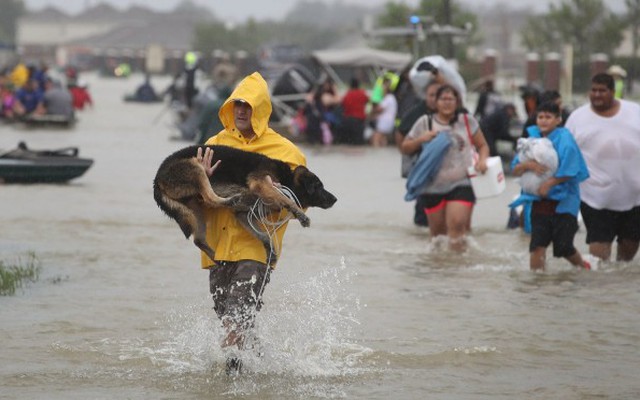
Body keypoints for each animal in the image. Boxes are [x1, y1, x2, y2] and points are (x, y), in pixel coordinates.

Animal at [153, 145, 338, 264]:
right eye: (319, 186)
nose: (335, 199)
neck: (288, 179)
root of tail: (157, 178)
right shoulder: (262, 183)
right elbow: (287, 199)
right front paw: (300, 214)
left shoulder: (244, 215)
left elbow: (263, 235)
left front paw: (270, 251)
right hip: (197, 168)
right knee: (209, 197)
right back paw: (230, 200)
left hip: (195, 207)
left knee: (198, 239)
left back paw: (217, 258)